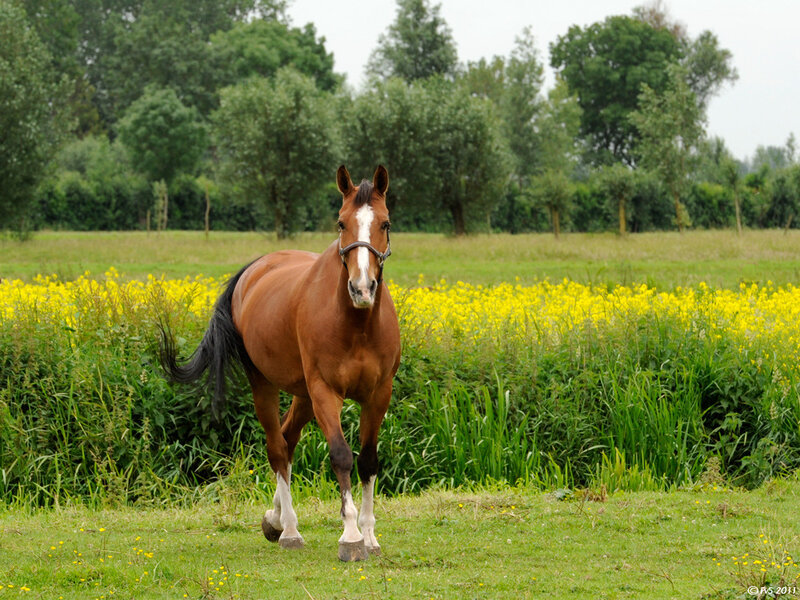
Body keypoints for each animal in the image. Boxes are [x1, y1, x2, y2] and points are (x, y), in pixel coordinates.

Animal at [161, 165, 401, 562]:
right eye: (341, 223)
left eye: (384, 223)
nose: (361, 288)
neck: (357, 324)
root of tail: (253, 270)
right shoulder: (325, 392)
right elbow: (341, 455)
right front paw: (350, 536)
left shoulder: (379, 393)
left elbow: (367, 460)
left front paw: (369, 536)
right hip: (268, 386)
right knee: (276, 447)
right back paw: (288, 529)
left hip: (303, 395)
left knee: (287, 441)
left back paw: (274, 519)